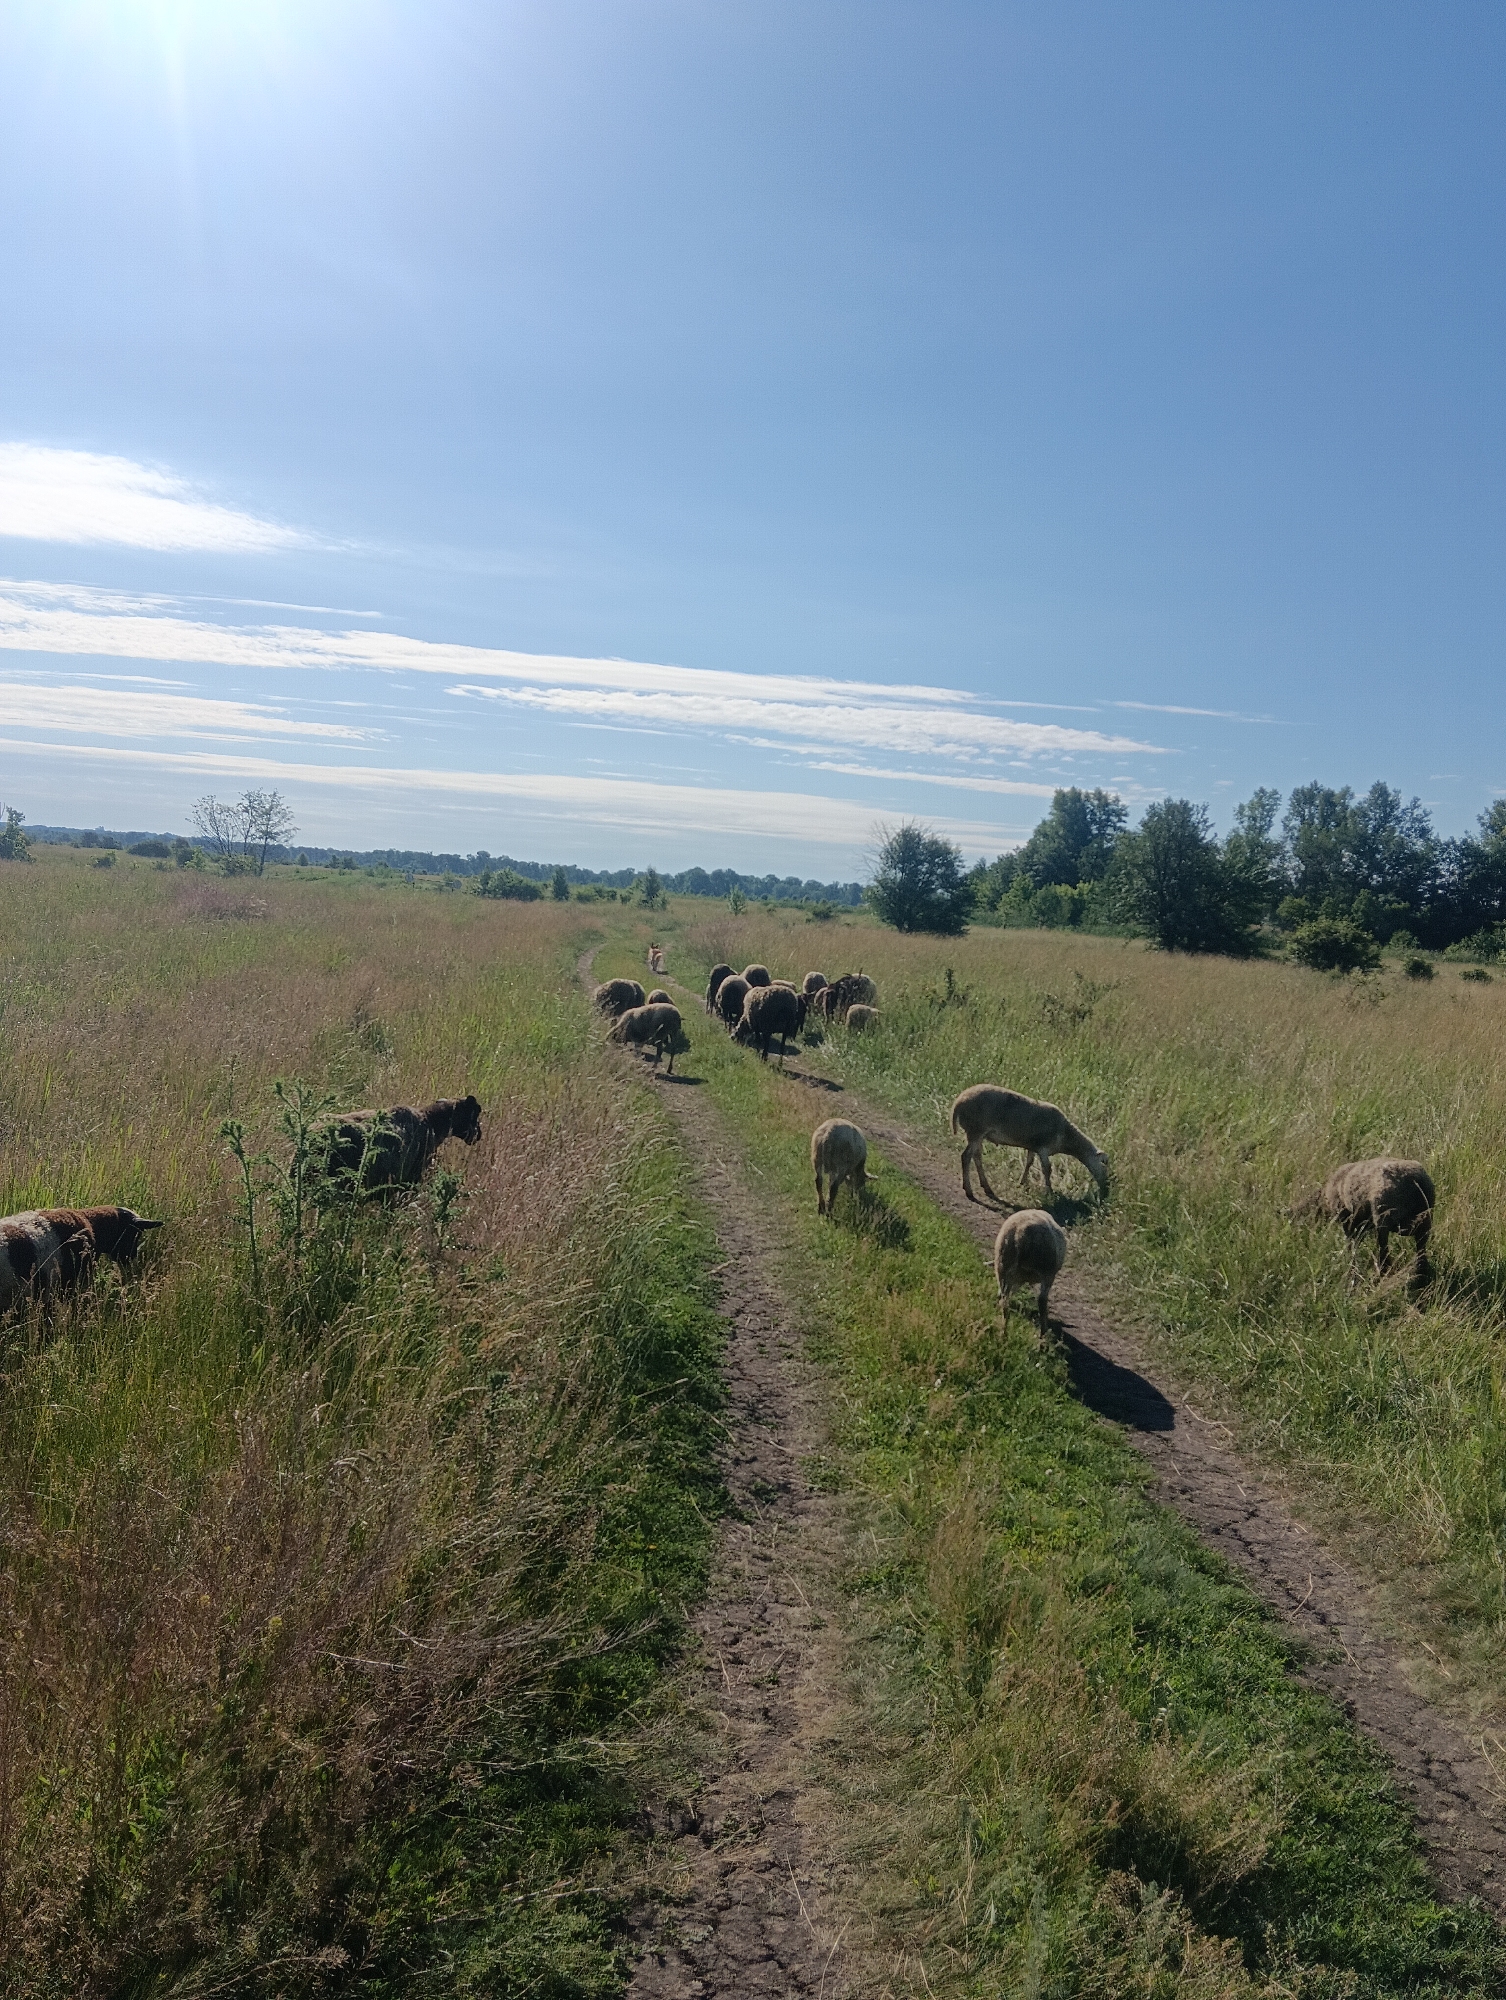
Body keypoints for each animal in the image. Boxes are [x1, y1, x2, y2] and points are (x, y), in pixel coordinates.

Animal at [950, 1085, 1109, 1202]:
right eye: (1104, 1164)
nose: (1106, 1190)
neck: (1066, 1135)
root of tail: (958, 1102)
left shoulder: (1033, 1146)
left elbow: (1029, 1162)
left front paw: (1023, 1183)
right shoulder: (1043, 1148)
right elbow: (1047, 1169)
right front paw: (1049, 1192)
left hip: (978, 1134)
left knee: (976, 1157)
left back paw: (987, 1187)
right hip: (976, 1130)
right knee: (966, 1157)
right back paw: (969, 1191)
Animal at [994, 1209, 1068, 1338]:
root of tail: (1022, 1233)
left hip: (1002, 1264)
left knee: (1004, 1301)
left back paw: (1003, 1332)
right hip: (1047, 1271)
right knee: (1042, 1300)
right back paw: (1043, 1335)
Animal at [1293, 1157, 1435, 1280]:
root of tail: (1415, 1181)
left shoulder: (1348, 1221)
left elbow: (1352, 1245)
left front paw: (1352, 1269)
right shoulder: (1361, 1224)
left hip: (1384, 1219)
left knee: (1384, 1253)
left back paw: (1383, 1274)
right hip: (1425, 1222)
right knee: (1421, 1252)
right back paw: (1421, 1275)